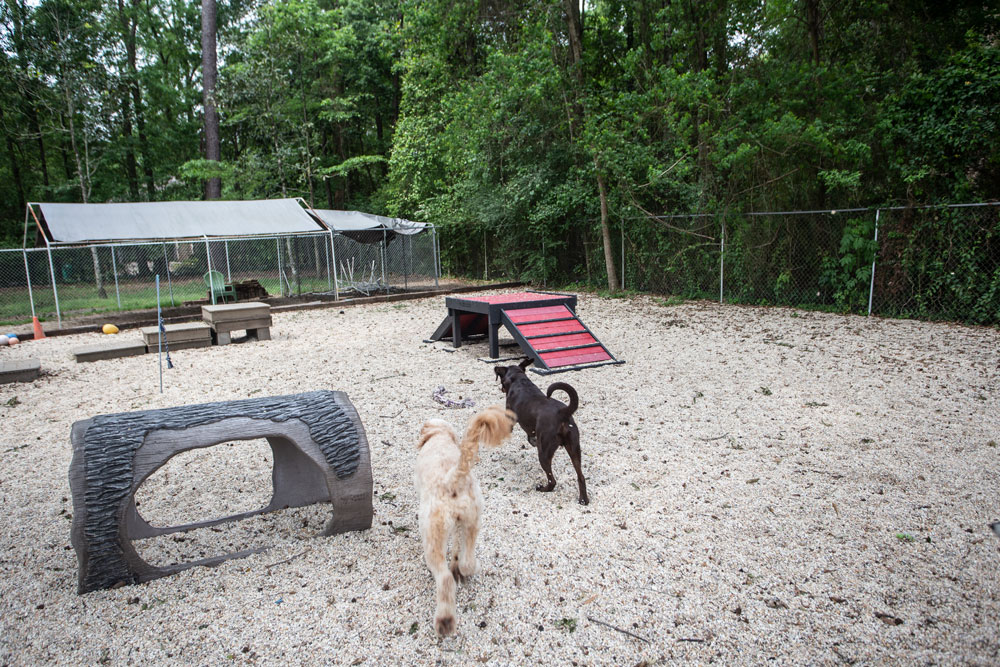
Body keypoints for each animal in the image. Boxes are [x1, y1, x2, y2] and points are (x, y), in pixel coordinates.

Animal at [414, 408, 516, 636]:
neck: (439, 436)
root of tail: (453, 478)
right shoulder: (459, 524)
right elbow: (456, 547)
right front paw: (456, 561)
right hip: (473, 521)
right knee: (467, 560)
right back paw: (466, 569)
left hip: (432, 537)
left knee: (444, 579)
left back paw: (445, 620)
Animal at [492, 360, 584, 506]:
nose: (501, 389)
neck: (519, 381)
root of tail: (562, 413)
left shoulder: (510, 418)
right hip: (574, 449)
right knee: (581, 476)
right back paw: (583, 500)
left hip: (544, 453)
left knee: (552, 481)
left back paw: (542, 488)